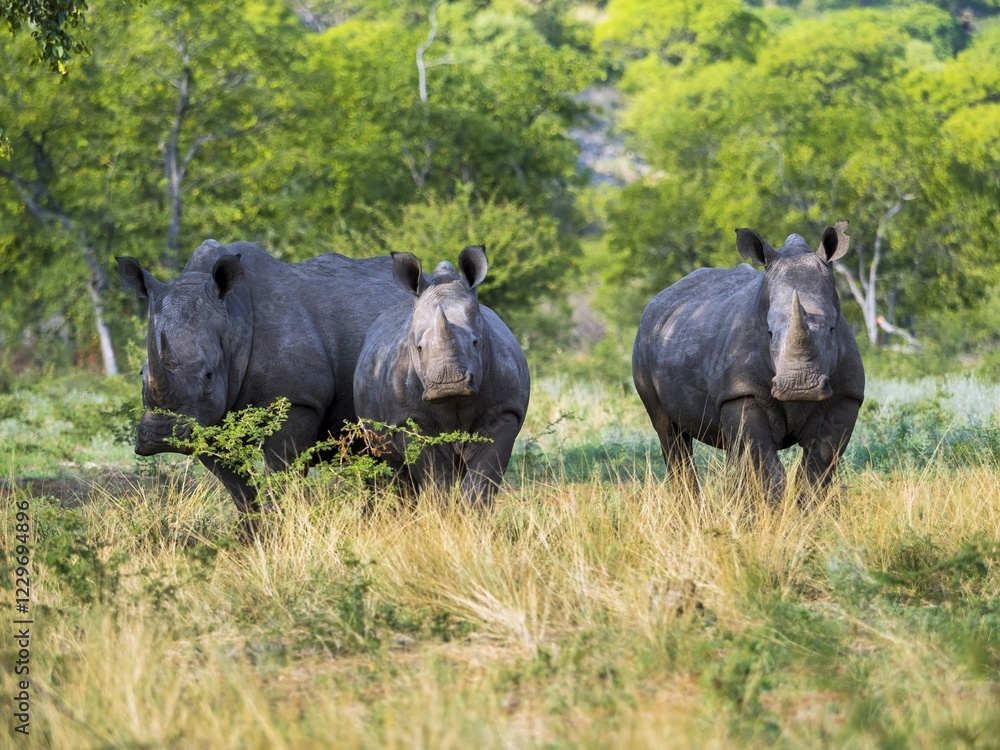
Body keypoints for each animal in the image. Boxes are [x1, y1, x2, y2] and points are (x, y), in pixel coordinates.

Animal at [117, 240, 410, 530]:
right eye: (141, 373)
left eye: (208, 375)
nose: (160, 437)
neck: (235, 321)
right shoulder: (208, 419)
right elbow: (238, 489)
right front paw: (253, 536)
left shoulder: (298, 400)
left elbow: (282, 475)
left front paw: (285, 530)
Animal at [353, 246, 530, 504]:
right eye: (418, 348)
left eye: (475, 342)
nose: (449, 385)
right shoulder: (409, 418)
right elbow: (434, 478)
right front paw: (443, 511)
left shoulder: (504, 410)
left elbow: (483, 478)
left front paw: (469, 513)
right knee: (393, 465)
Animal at [632, 222, 865, 501]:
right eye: (769, 332)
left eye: (832, 329)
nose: (800, 386)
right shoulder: (741, 391)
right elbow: (766, 469)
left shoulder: (846, 396)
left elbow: (817, 471)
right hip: (644, 343)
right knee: (670, 434)